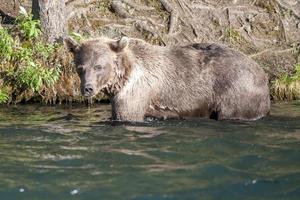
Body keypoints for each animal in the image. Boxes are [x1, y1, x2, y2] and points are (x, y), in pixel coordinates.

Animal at [64, 36, 270, 122]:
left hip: (236, 92)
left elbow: (126, 115)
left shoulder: (135, 92)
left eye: (99, 66)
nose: (87, 88)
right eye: (80, 67)